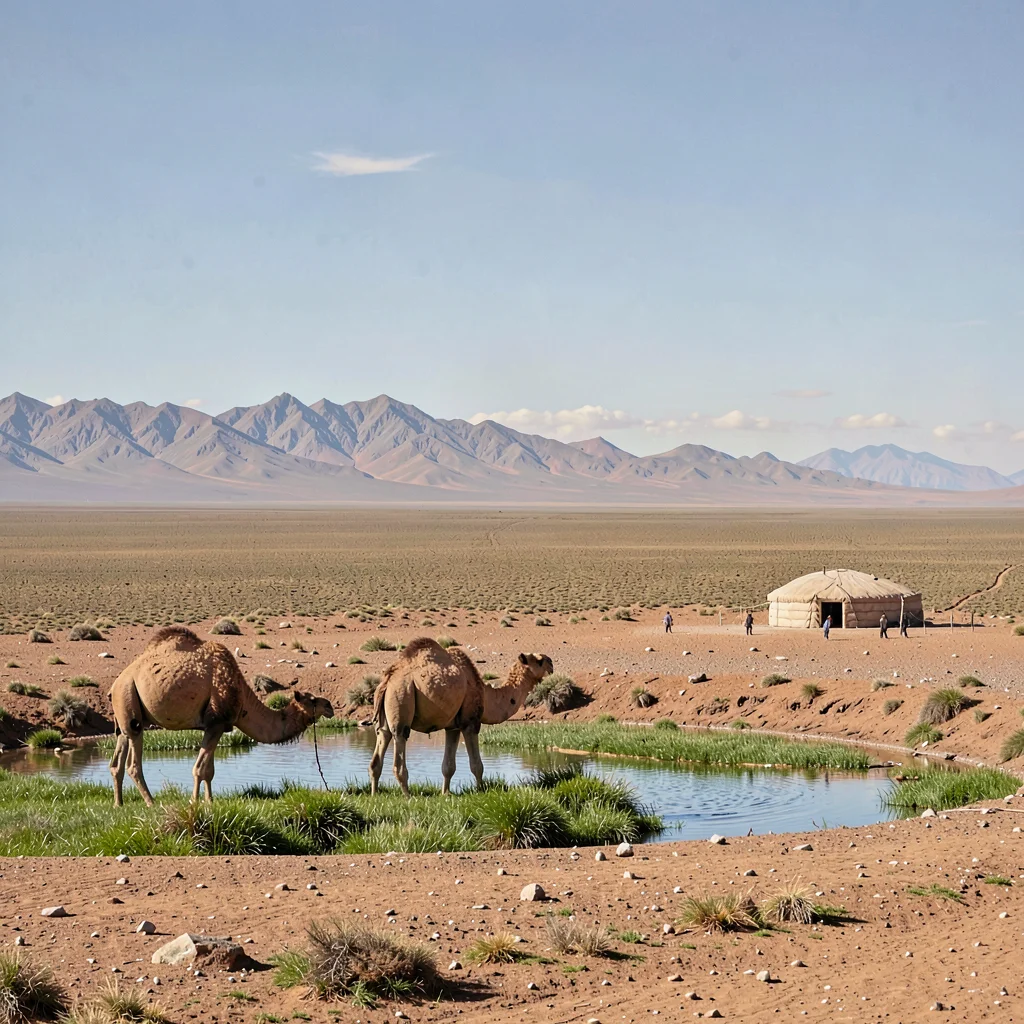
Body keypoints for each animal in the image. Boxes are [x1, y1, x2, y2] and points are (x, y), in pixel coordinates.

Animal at [108, 626, 334, 805]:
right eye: (313, 700)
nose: (330, 706)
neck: (241, 695)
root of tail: (114, 685)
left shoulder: (219, 727)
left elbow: (210, 770)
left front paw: (210, 801)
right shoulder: (216, 723)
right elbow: (200, 768)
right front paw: (195, 802)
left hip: (124, 714)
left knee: (117, 760)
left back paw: (119, 804)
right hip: (129, 700)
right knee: (133, 763)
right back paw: (151, 803)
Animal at [369, 636, 553, 796]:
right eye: (539, 660)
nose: (551, 663)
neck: (485, 694)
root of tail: (387, 681)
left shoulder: (453, 727)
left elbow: (448, 766)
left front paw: (445, 794)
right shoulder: (470, 722)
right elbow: (477, 765)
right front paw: (480, 792)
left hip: (385, 715)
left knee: (379, 748)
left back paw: (374, 794)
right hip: (403, 697)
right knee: (400, 743)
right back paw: (408, 796)